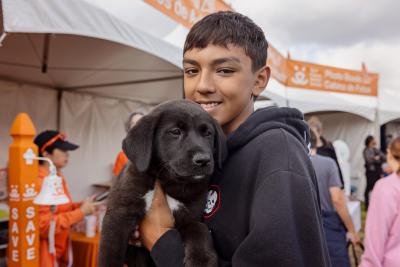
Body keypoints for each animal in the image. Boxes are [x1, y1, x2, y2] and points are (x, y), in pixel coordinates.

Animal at [99, 100, 225, 267]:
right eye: (176, 131)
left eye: (208, 133)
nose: (203, 160)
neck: (169, 183)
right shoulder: (119, 216)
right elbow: (110, 255)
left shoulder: (189, 217)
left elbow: (200, 228)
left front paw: (202, 259)